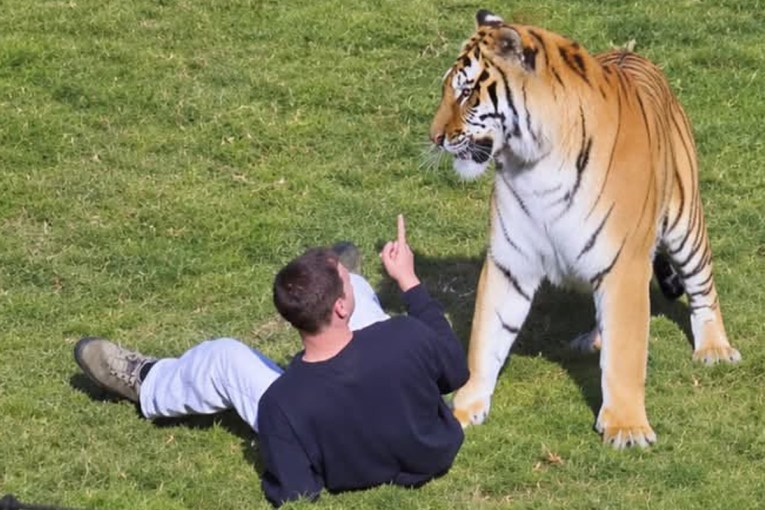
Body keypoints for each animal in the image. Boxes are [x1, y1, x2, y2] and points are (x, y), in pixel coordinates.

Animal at [428, 9, 741, 448]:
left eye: (468, 93)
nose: (435, 137)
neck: (535, 162)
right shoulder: (510, 261)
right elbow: (486, 337)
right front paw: (463, 408)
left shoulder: (625, 263)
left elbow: (626, 352)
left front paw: (626, 427)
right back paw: (592, 339)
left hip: (685, 224)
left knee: (703, 287)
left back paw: (715, 349)